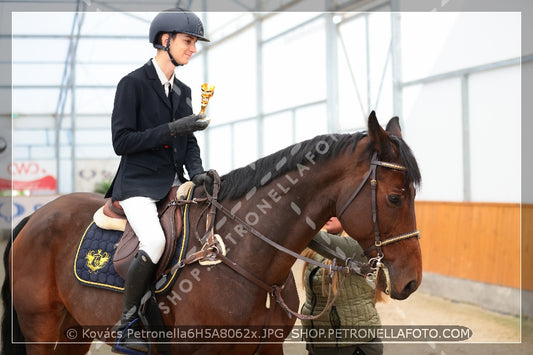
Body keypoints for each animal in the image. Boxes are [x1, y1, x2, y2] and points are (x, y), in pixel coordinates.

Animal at [2, 112, 422, 355]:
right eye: (395, 197)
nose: (412, 281)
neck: (249, 258)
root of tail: (36, 217)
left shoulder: (266, 350)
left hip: (74, 329)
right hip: (42, 327)